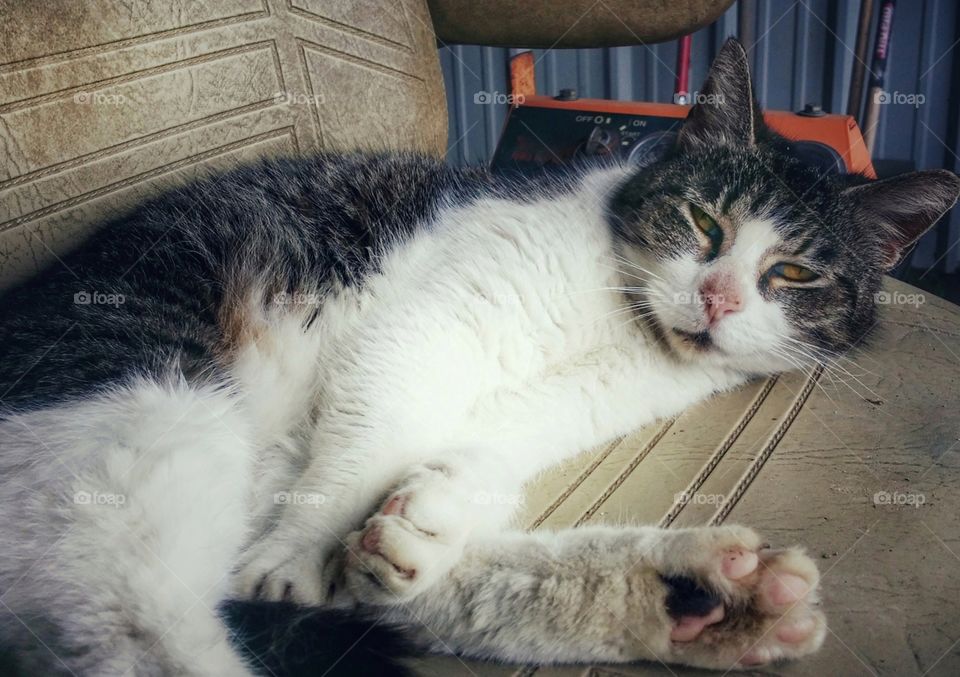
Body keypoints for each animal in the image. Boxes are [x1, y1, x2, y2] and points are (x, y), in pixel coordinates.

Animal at [1, 39, 960, 672]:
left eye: (792, 272)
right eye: (703, 222)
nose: (721, 297)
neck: (624, 322)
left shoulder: (584, 401)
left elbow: (490, 444)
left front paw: (436, 502)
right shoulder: (422, 330)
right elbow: (359, 444)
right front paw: (298, 553)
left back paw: (704, 595)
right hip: (149, 420)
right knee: (153, 630)